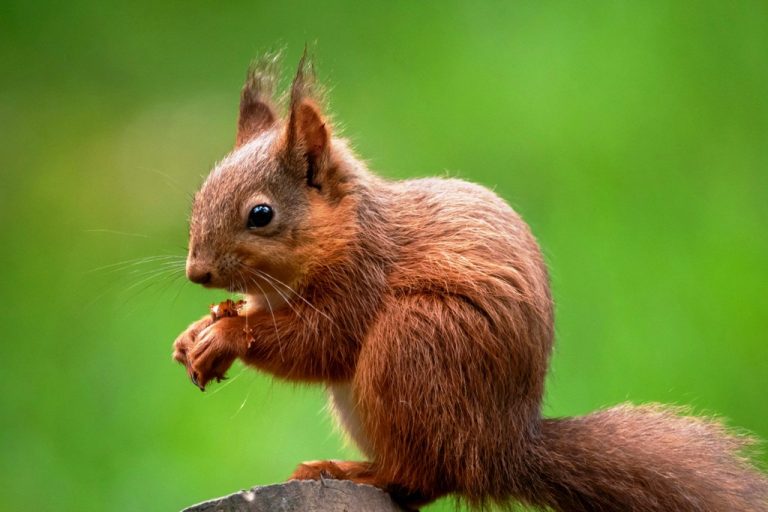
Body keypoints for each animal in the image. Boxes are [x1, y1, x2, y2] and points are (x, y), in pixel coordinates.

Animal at [174, 54, 768, 510]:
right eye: (201, 194)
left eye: (261, 214)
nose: (197, 272)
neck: (349, 231)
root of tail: (501, 452)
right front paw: (196, 334)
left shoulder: (361, 283)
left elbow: (318, 343)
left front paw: (225, 337)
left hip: (415, 344)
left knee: (421, 477)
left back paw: (350, 471)